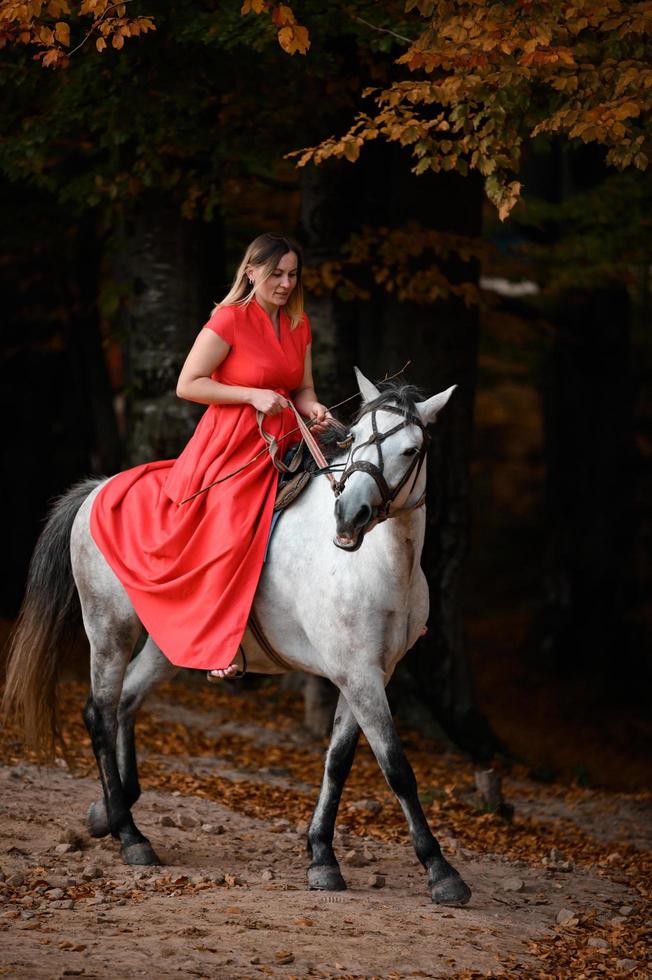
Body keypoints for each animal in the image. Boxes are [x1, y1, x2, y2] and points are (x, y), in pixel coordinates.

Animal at [1, 372, 468, 908]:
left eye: (411, 450)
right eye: (353, 439)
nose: (349, 516)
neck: (379, 565)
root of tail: (99, 488)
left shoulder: (367, 674)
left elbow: (338, 761)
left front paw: (321, 856)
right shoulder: (359, 675)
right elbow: (396, 768)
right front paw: (440, 871)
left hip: (168, 644)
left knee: (126, 703)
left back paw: (110, 811)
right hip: (109, 627)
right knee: (99, 712)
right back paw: (129, 834)